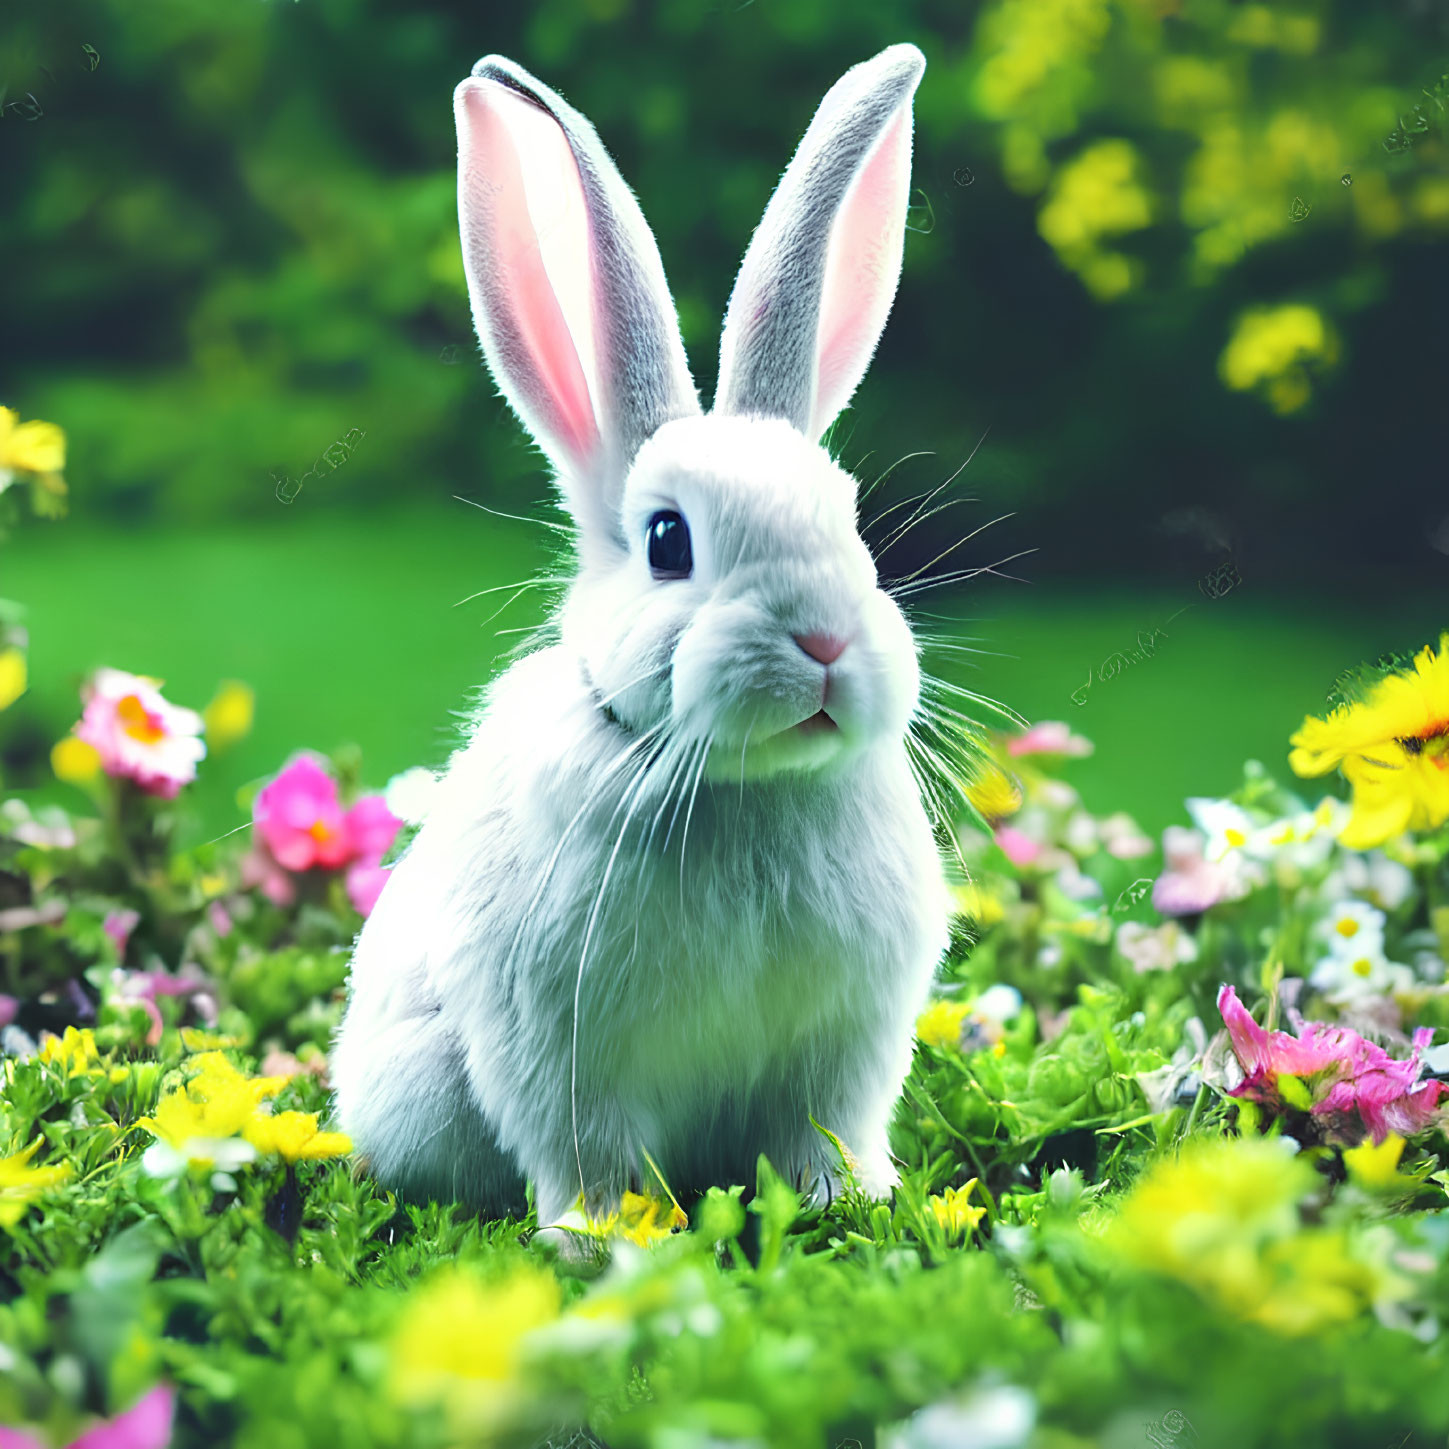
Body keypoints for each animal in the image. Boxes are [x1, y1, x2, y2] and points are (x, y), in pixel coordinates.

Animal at [333, 42, 956, 1222]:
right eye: (669, 541)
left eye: (850, 522)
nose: (824, 645)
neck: (740, 786)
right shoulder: (561, 1051)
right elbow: (590, 1158)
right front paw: (608, 1238)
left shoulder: (844, 1048)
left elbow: (823, 1132)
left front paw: (845, 1202)